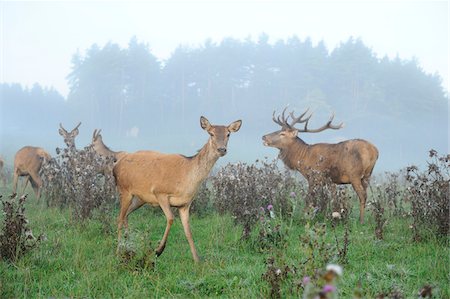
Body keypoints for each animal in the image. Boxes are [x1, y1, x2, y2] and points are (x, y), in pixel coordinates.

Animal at [114, 117, 243, 262]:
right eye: (211, 133)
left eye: (228, 134)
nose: (222, 149)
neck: (186, 179)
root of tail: (116, 165)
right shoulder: (160, 192)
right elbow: (170, 218)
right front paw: (158, 250)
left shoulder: (185, 204)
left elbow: (188, 232)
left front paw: (197, 260)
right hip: (124, 190)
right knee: (119, 218)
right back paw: (118, 251)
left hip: (140, 198)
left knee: (126, 215)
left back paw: (129, 246)